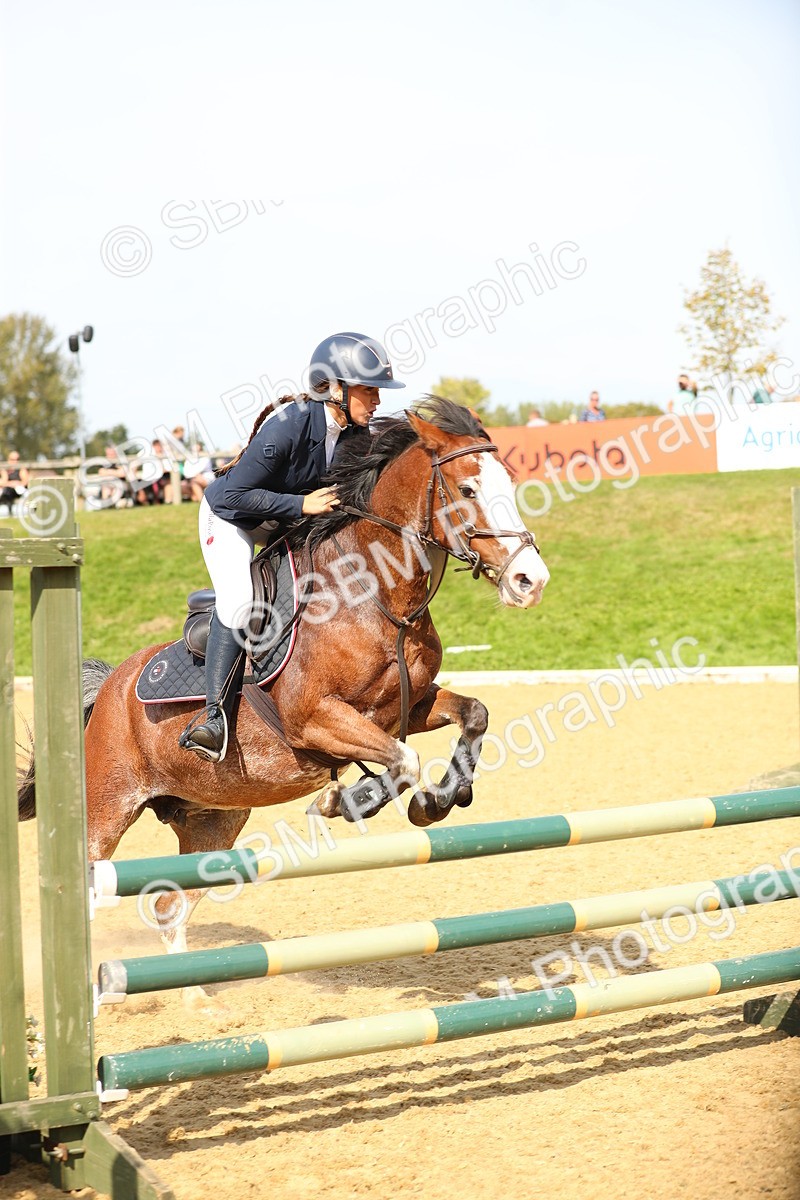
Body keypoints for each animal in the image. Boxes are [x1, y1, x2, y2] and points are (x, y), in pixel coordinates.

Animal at [18, 398, 549, 1011]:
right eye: (466, 488)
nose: (530, 580)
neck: (377, 594)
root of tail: (108, 688)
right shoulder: (315, 718)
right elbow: (403, 761)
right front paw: (349, 801)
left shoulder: (407, 710)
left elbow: (472, 715)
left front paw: (439, 800)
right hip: (108, 808)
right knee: (88, 891)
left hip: (215, 818)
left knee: (170, 904)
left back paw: (194, 999)